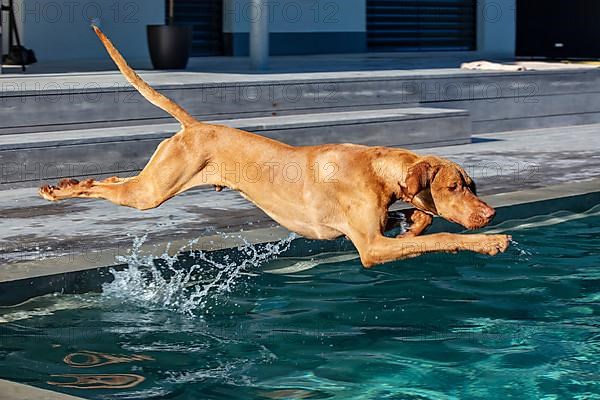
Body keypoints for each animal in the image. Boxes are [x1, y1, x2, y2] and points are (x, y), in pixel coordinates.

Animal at [37, 26, 508, 268]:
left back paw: (67, 184)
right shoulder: (371, 249)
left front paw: (412, 222)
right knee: (104, 187)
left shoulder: (379, 227)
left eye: (473, 186)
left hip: (150, 182)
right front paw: (488, 242)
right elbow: (442, 236)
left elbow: (421, 222)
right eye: (454, 188)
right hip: (151, 192)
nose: (489, 214)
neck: (378, 170)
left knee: (113, 179)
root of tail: (195, 125)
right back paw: (60, 190)